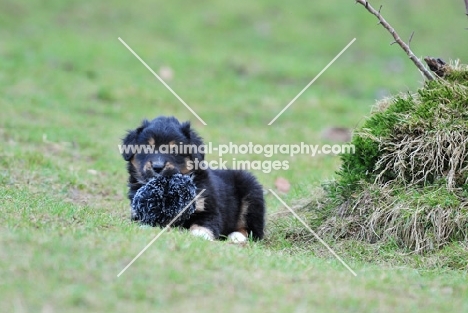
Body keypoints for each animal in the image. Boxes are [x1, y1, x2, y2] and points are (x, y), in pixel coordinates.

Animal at [122, 116, 266, 240]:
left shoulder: (208, 208)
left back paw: (236, 236)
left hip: (251, 195)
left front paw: (199, 236)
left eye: (175, 150)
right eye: (147, 148)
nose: (158, 167)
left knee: (251, 230)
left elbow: (203, 224)